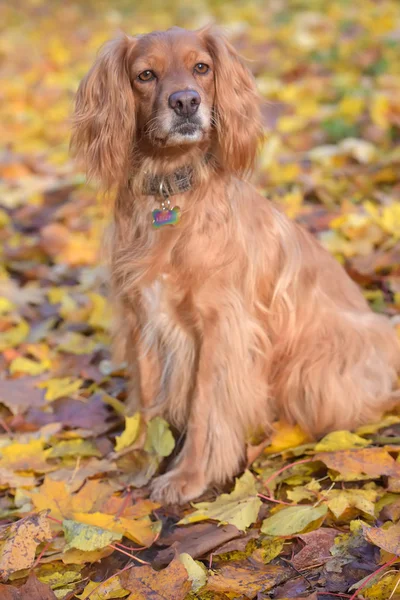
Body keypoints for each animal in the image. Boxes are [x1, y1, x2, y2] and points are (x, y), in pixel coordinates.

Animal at [72, 25, 400, 504]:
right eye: (145, 75)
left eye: (201, 67)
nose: (185, 102)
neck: (170, 189)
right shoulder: (141, 317)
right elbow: (148, 403)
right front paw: (138, 462)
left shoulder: (221, 327)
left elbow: (206, 407)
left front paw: (189, 477)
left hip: (312, 366)